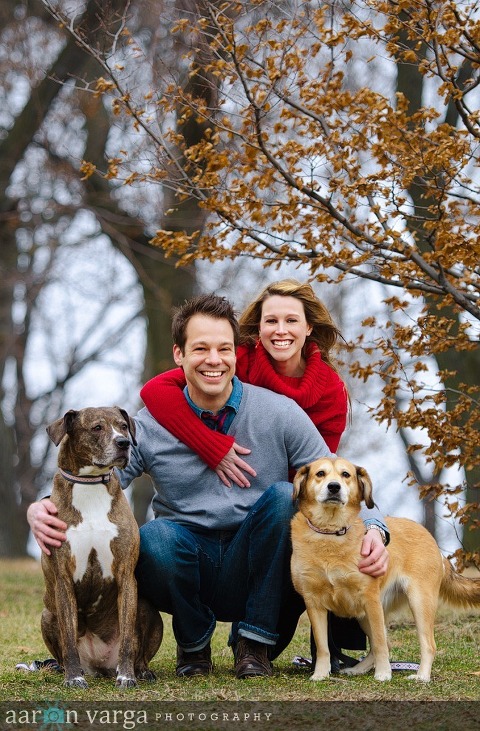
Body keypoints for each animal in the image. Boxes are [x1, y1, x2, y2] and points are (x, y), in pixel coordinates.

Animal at [43, 406, 163, 688]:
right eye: (97, 428)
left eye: (123, 426)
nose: (124, 443)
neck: (90, 484)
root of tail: (98, 666)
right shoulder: (63, 579)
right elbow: (68, 638)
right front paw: (73, 678)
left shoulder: (126, 576)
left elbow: (129, 639)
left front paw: (127, 676)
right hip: (46, 613)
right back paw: (67, 670)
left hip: (148, 608)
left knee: (139, 652)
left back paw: (140, 671)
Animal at [290, 460, 480, 684]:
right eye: (320, 474)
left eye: (346, 474)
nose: (334, 487)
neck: (331, 533)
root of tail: (430, 538)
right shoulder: (314, 603)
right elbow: (323, 647)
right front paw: (320, 673)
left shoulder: (370, 600)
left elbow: (380, 643)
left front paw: (383, 673)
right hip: (363, 614)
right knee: (383, 645)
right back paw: (358, 669)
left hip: (418, 602)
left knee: (426, 645)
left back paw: (422, 676)